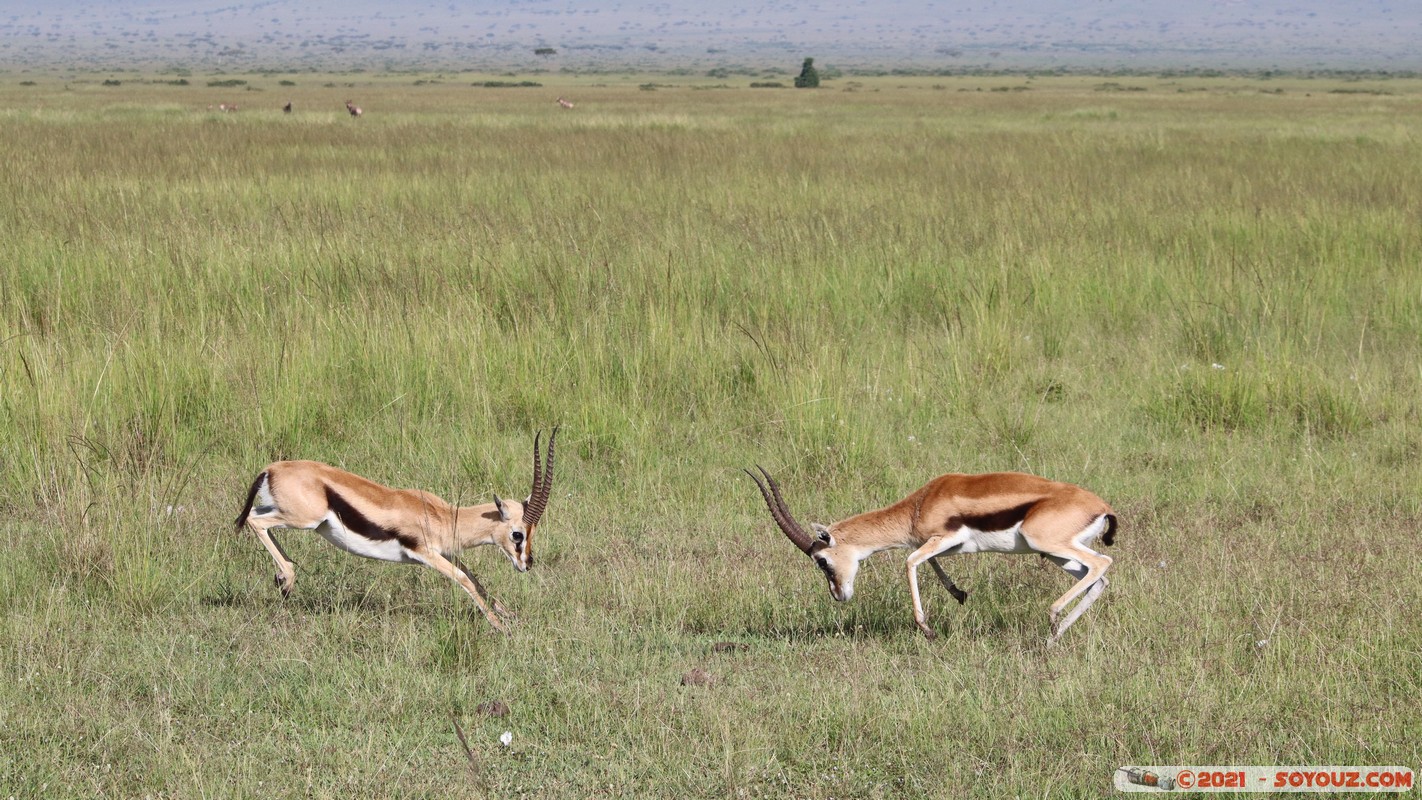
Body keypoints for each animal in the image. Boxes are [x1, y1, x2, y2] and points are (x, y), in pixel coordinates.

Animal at [236, 431, 557, 633]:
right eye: (517, 534)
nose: (527, 564)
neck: (442, 516)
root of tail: (271, 468)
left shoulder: (444, 553)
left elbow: (476, 579)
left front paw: (508, 614)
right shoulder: (425, 554)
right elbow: (464, 579)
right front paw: (500, 626)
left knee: (254, 516)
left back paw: (281, 578)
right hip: (303, 520)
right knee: (253, 520)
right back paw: (287, 580)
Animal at [750, 463, 1114, 645]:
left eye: (823, 561)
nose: (839, 595)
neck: (922, 502)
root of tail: (1102, 507)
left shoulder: (944, 537)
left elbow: (910, 560)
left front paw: (927, 630)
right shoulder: (946, 544)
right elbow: (928, 559)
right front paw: (960, 593)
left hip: (1047, 544)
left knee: (1103, 564)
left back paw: (1052, 617)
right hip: (1056, 554)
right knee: (1098, 580)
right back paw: (1053, 638)